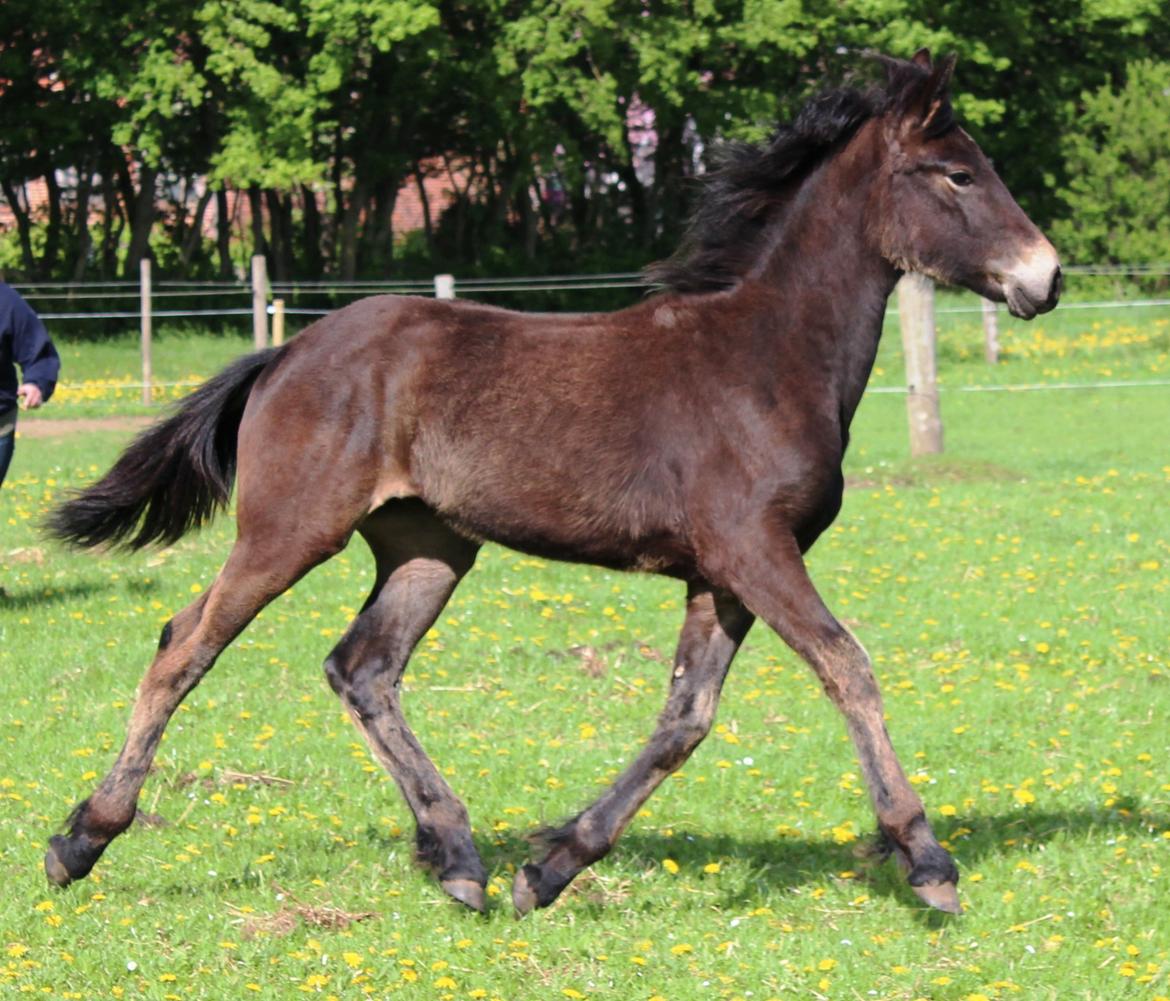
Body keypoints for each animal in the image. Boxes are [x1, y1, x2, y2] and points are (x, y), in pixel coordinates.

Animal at [45, 52, 1057, 916]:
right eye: (955, 175)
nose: (1044, 278)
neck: (765, 357)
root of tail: (285, 352)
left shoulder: (723, 572)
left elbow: (685, 717)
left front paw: (553, 864)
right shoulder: (753, 549)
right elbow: (848, 666)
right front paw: (927, 859)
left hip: (427, 545)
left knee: (362, 666)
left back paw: (459, 858)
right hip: (289, 530)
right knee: (186, 645)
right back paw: (79, 840)